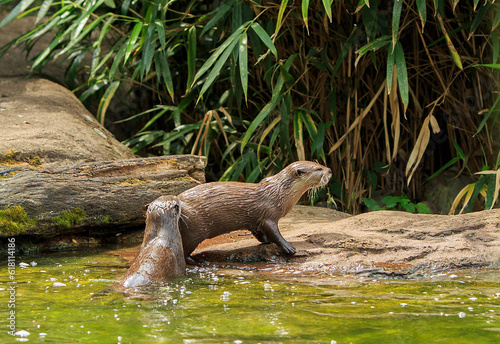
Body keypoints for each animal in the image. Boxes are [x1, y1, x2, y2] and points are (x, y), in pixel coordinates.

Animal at [177, 163, 332, 260]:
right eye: (318, 168)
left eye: (319, 163)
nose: (330, 170)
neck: (279, 193)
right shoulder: (269, 214)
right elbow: (275, 232)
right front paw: (288, 247)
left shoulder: (255, 222)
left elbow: (259, 232)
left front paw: (266, 241)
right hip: (194, 230)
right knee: (184, 250)